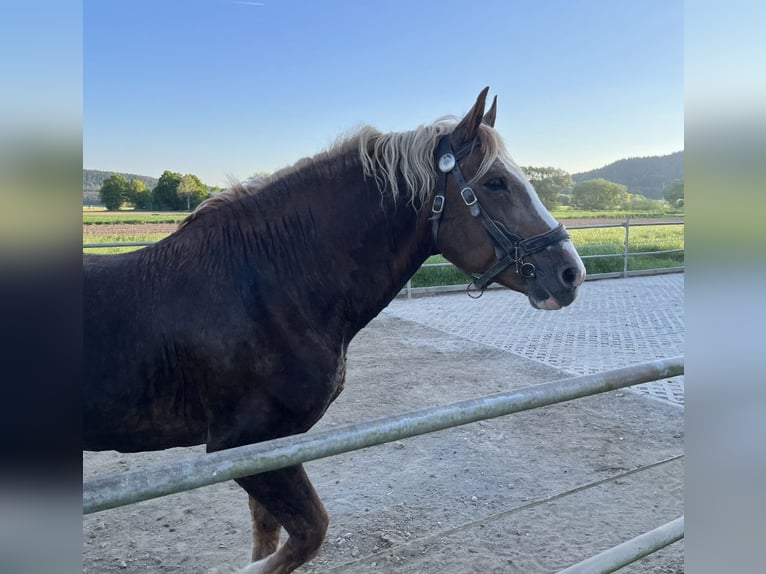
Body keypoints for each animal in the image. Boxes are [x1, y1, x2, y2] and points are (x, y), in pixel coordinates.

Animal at [84, 88, 588, 572]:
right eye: (495, 182)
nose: (571, 273)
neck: (263, 286)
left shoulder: (270, 448)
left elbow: (269, 536)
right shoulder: (240, 446)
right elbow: (308, 534)